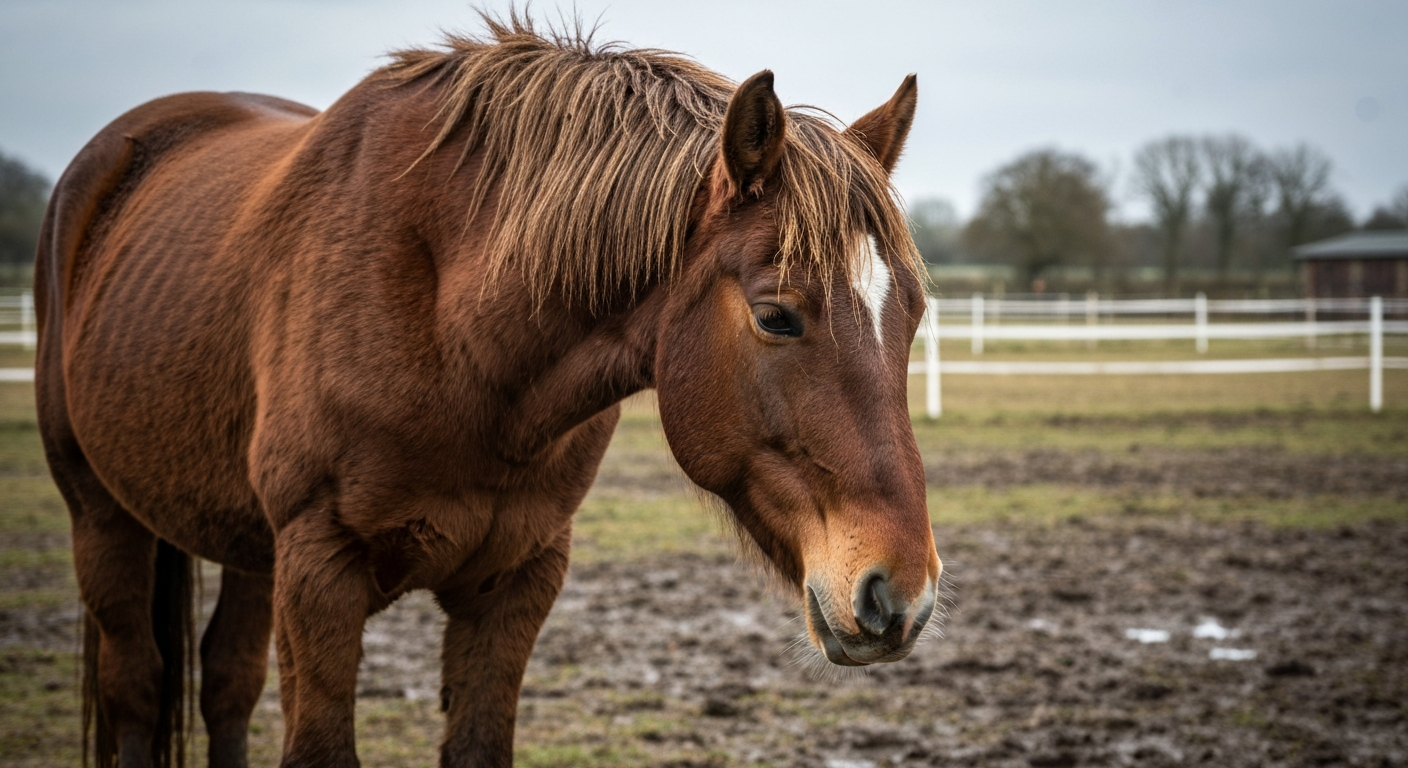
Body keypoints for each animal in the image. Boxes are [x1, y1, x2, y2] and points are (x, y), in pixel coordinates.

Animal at [35, 16, 941, 768]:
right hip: (103, 518)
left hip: (249, 547)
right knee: (136, 687)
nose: (901, 593)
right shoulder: (320, 571)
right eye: (775, 315)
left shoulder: (514, 581)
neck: (458, 344)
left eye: (914, 313)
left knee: (225, 682)